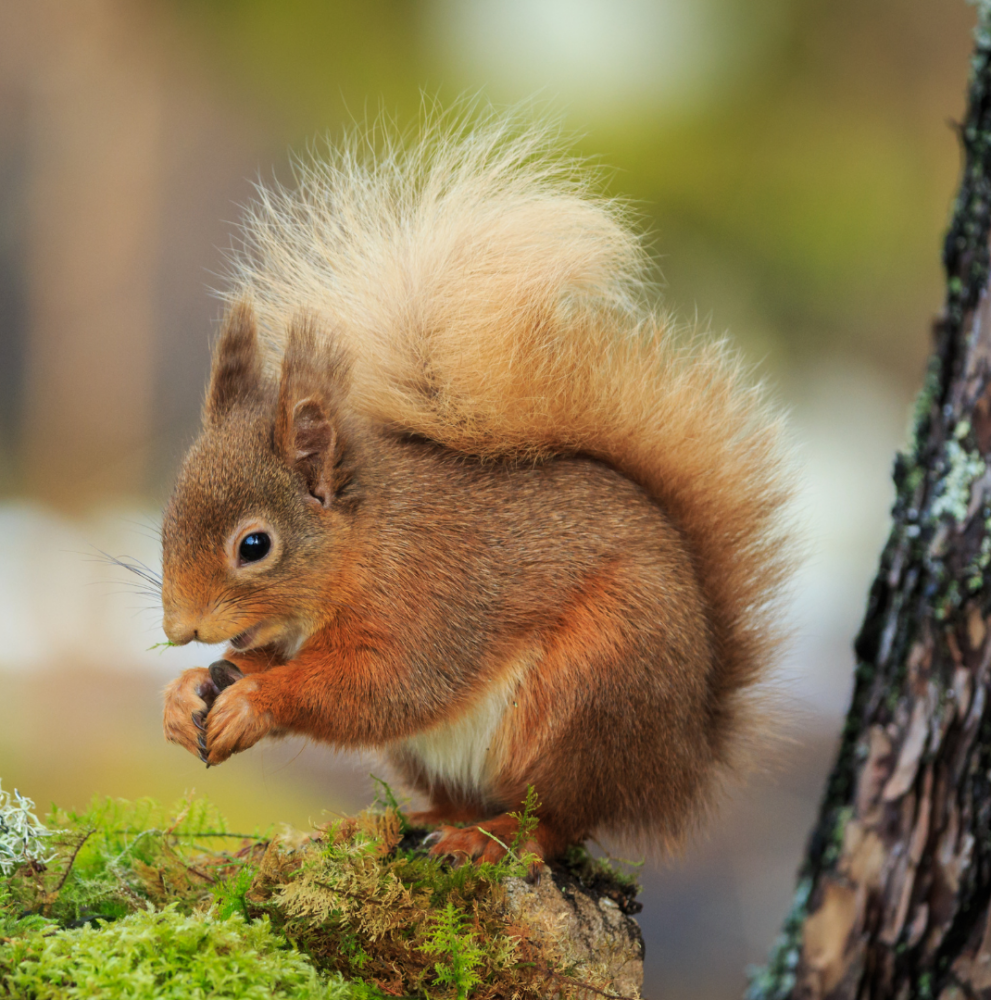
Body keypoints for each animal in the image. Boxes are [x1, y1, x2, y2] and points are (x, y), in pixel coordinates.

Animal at [159, 116, 795, 863]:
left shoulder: (426, 606)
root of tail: (679, 764)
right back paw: (394, 822)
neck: (363, 546)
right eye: (166, 520)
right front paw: (187, 695)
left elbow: (379, 688)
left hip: (586, 695)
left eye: (254, 546)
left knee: (559, 820)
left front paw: (255, 700)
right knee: (461, 799)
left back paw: (489, 839)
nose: (179, 630)